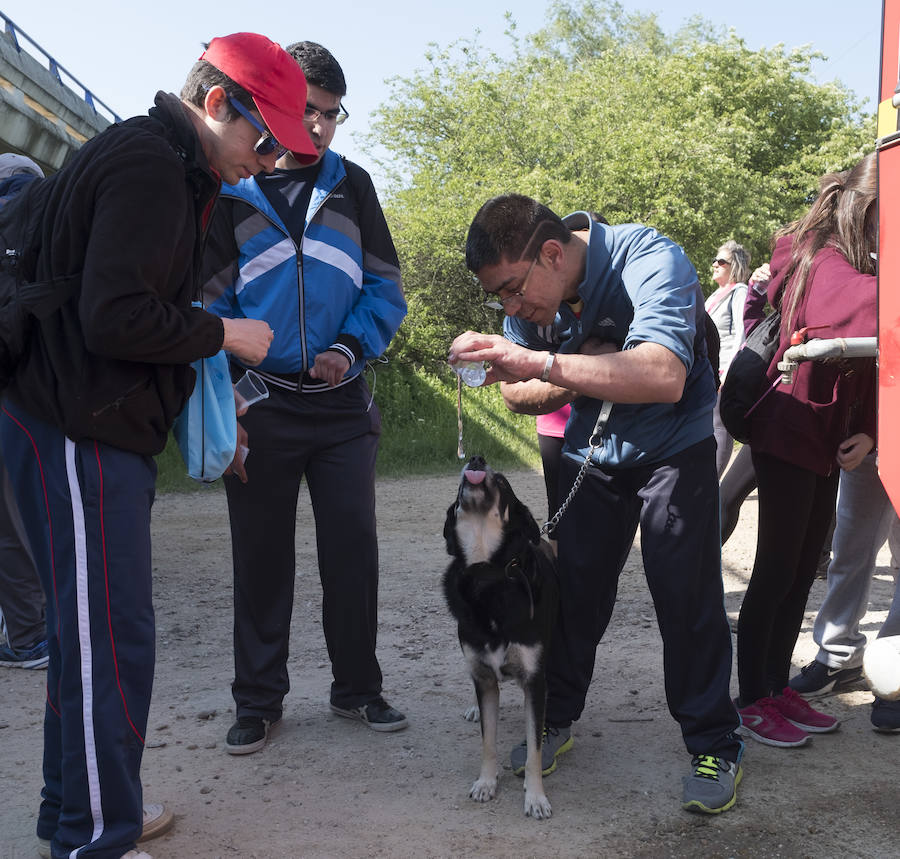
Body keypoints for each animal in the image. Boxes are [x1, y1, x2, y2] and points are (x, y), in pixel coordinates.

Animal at [442, 456, 560, 820]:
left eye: (503, 481)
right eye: (457, 490)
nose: (476, 458)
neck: (487, 574)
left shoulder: (535, 679)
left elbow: (535, 748)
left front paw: (535, 798)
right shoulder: (483, 676)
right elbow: (488, 740)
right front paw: (486, 782)